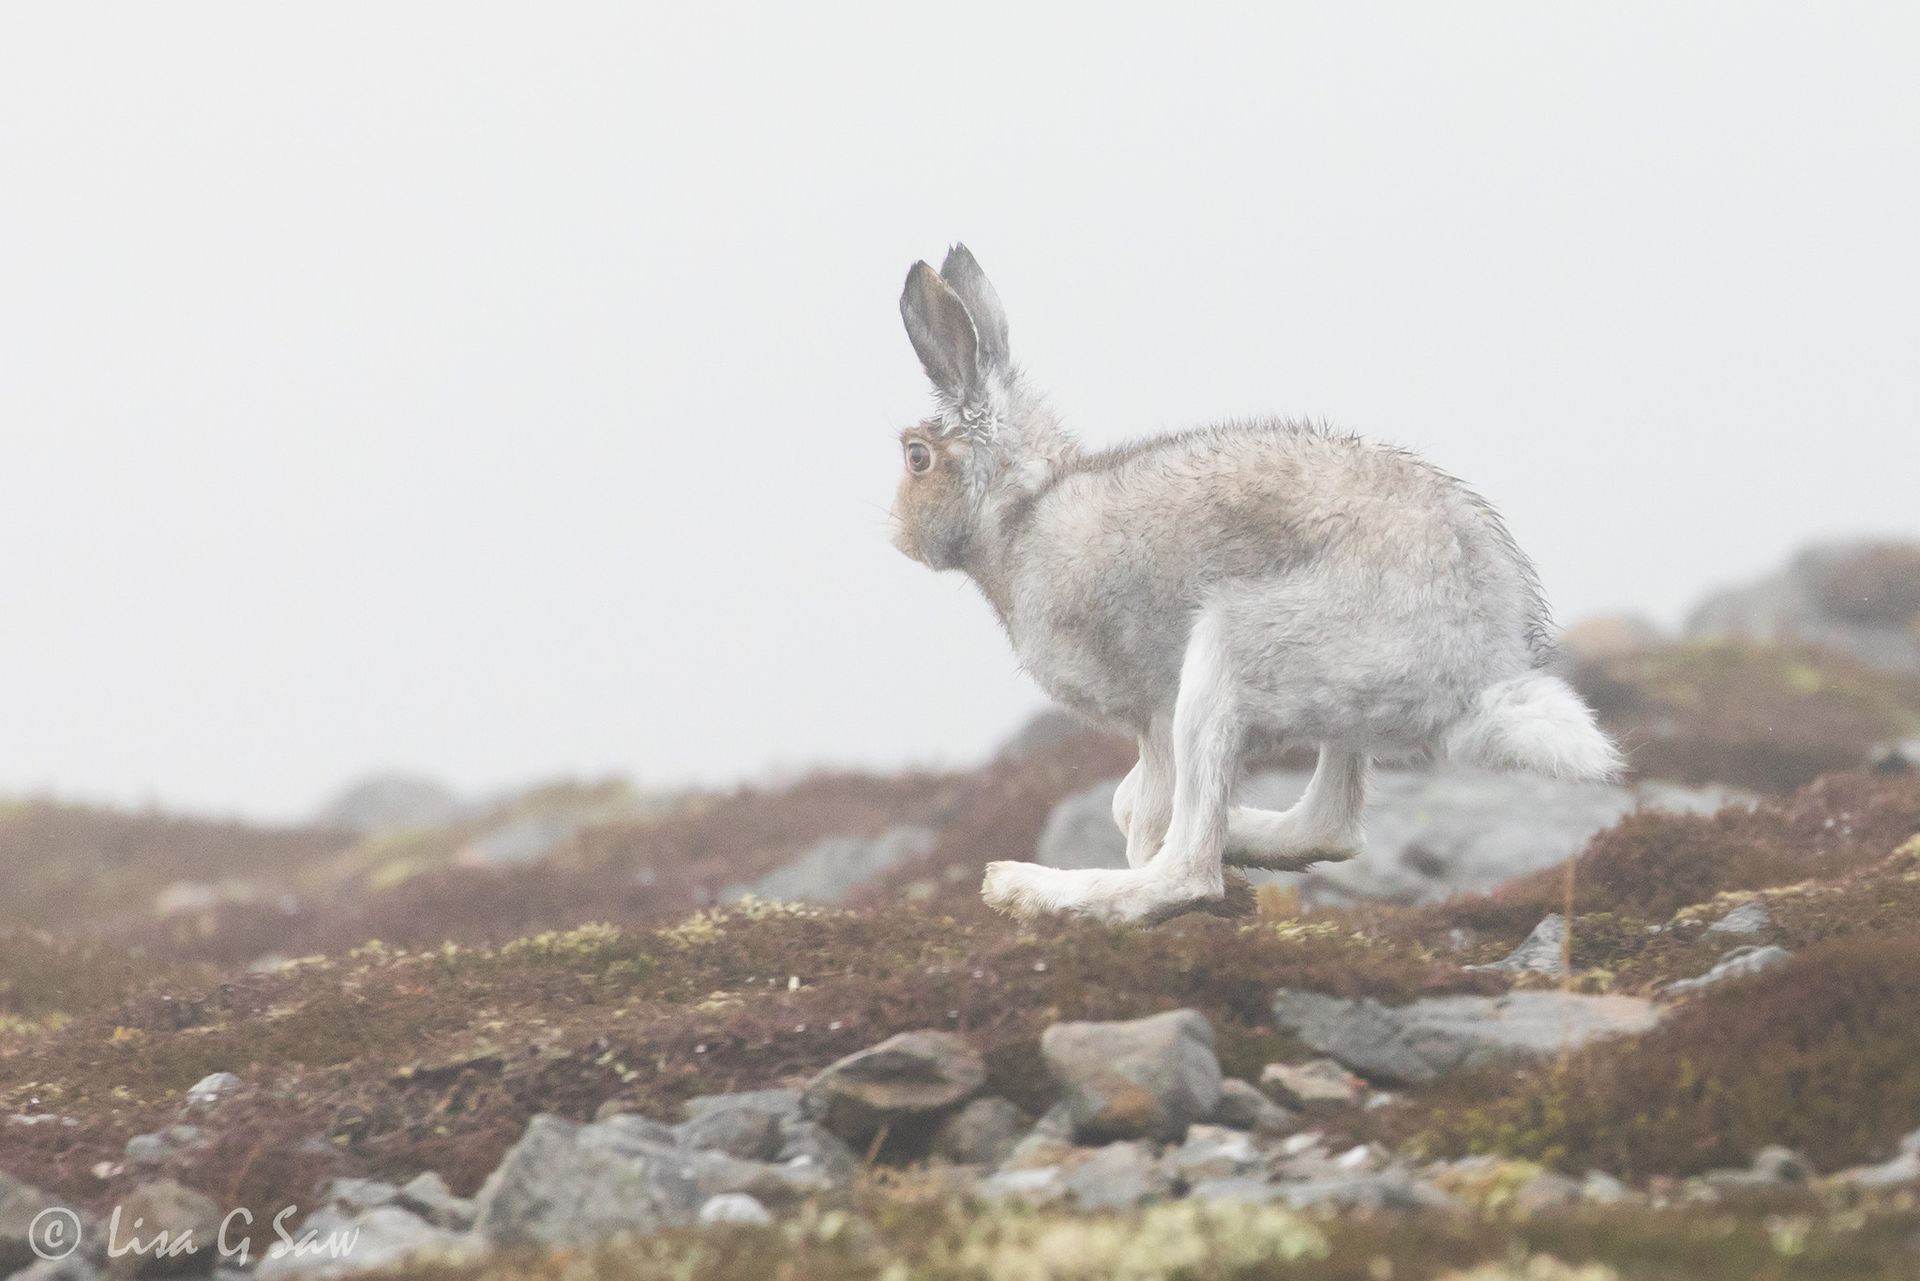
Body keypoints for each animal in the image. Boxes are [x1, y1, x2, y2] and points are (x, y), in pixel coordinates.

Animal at [889, 244, 1622, 925]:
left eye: (916, 457)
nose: (899, 534)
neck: (1021, 511)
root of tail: (1480, 678)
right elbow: (1132, 805)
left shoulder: (1153, 714)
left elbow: (1142, 814)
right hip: (1333, 711)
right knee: (1330, 827)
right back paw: (1238, 838)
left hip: (1232, 661)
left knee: (1187, 868)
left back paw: (1030, 886)